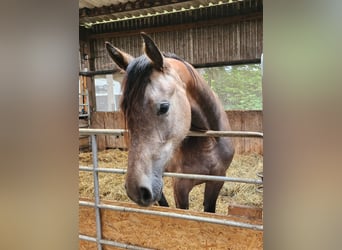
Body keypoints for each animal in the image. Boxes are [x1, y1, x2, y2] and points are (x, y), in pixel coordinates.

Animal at [105, 32, 234, 213]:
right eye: (124, 109)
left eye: (164, 107)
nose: (135, 190)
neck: (207, 142)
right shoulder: (180, 187)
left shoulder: (217, 180)